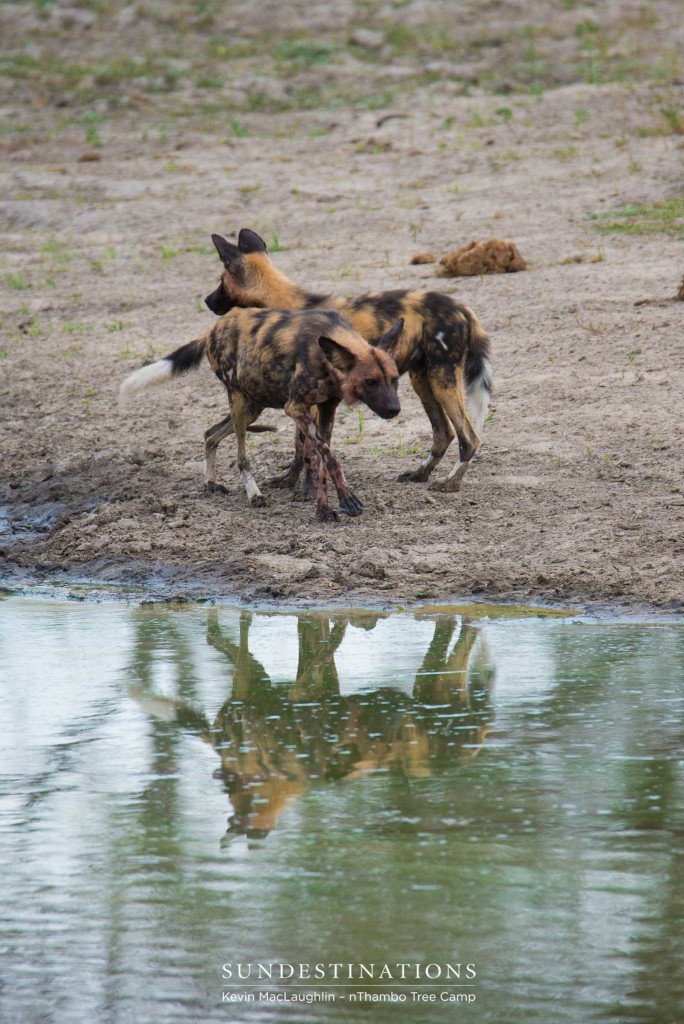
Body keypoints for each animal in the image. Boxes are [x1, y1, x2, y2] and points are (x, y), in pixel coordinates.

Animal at [120, 307, 403, 524]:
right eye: (370, 382)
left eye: (394, 379)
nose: (394, 409)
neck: (326, 361)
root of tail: (212, 329)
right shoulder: (296, 408)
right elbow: (329, 457)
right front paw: (345, 499)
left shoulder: (326, 409)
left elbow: (323, 460)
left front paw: (323, 509)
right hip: (238, 402)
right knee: (241, 456)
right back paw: (254, 495)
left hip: (253, 408)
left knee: (210, 434)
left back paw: (210, 483)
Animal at [202, 229, 491, 491]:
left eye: (220, 282)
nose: (206, 300)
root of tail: (463, 309)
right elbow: (301, 445)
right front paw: (291, 480)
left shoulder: (312, 403)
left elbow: (306, 448)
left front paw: (304, 487)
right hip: (423, 380)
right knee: (444, 432)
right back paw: (420, 474)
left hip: (441, 378)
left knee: (469, 437)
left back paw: (449, 483)